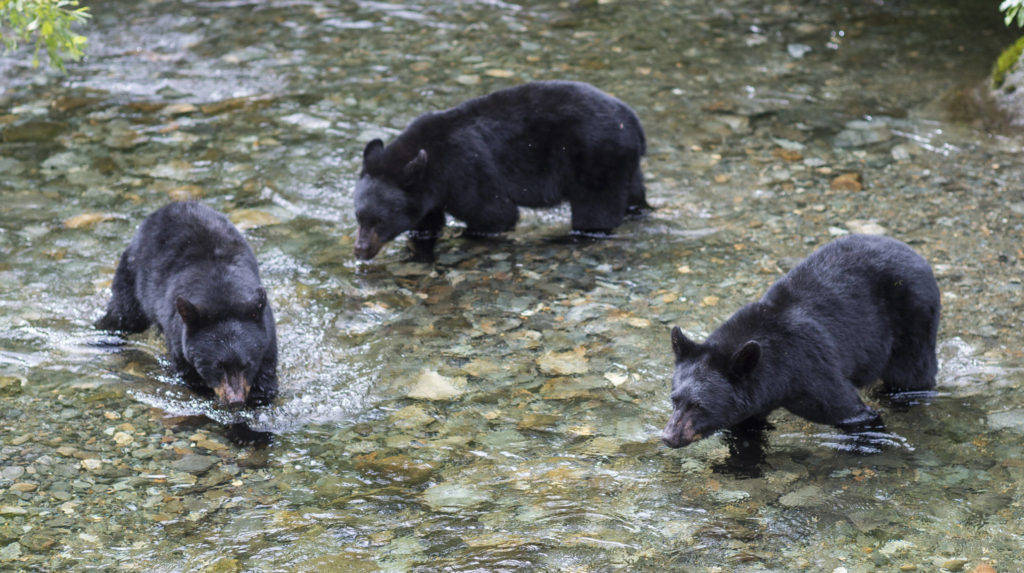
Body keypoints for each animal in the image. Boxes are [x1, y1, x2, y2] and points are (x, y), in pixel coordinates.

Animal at [96, 202, 279, 429]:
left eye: (247, 364)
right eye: (217, 366)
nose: (235, 400)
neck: (223, 296)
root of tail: (169, 206)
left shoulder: (267, 338)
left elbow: (266, 383)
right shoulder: (180, 342)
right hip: (131, 273)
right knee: (123, 314)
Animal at [352, 80, 649, 262]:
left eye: (379, 220)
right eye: (358, 217)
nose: (360, 249)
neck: (432, 164)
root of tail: (633, 120)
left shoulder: (465, 170)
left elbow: (495, 213)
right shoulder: (427, 194)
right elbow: (427, 223)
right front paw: (421, 249)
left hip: (597, 162)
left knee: (596, 213)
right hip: (625, 164)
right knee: (634, 195)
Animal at [661, 234, 940, 450]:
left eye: (699, 405)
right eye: (674, 399)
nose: (668, 436)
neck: (777, 371)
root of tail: (915, 253)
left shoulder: (810, 369)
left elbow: (852, 411)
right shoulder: (750, 401)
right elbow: (746, 430)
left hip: (913, 320)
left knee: (911, 374)